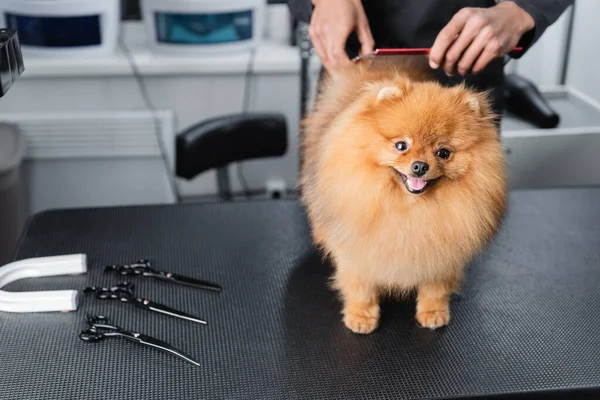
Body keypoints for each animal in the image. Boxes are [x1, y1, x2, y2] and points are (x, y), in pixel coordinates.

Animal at [300, 56, 506, 334]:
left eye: (443, 152)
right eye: (401, 146)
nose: (419, 166)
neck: (408, 208)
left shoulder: (442, 254)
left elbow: (435, 288)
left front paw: (433, 313)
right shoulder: (357, 249)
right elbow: (360, 286)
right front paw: (361, 316)